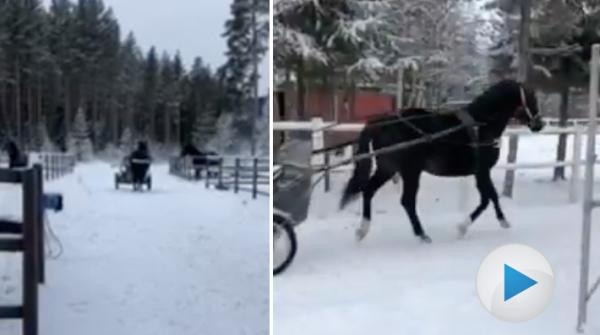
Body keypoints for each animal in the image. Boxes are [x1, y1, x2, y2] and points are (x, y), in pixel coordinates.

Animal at [340, 80, 548, 245]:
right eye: (531, 98)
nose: (539, 124)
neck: (481, 126)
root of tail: (379, 123)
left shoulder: (480, 172)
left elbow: (490, 197)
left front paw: (492, 222)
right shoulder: (482, 171)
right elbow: (488, 198)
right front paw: (466, 227)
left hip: (388, 168)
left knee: (369, 191)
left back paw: (362, 230)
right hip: (410, 170)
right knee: (407, 201)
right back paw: (422, 235)